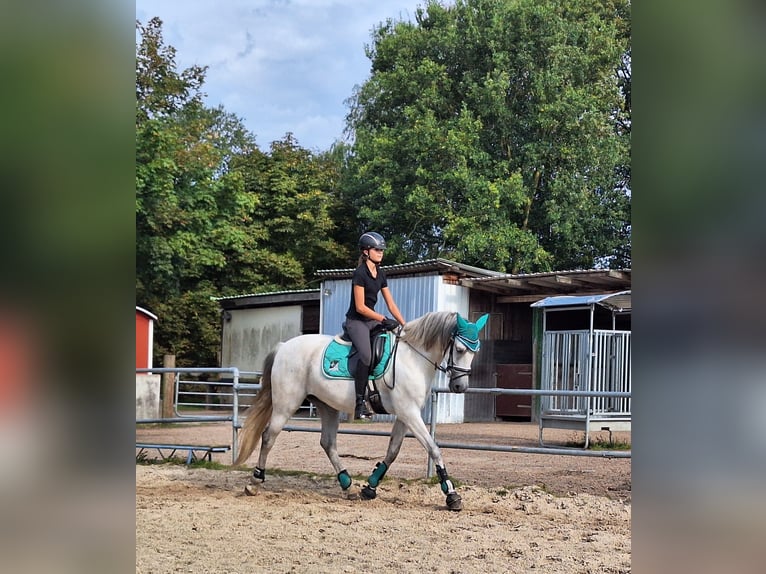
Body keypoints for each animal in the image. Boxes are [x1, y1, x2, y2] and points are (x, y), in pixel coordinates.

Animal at [233, 310, 489, 511]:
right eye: (459, 349)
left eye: (475, 351)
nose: (460, 387)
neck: (413, 358)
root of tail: (284, 346)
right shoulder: (409, 413)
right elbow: (434, 449)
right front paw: (452, 495)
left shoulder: (406, 414)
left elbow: (392, 451)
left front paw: (370, 487)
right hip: (287, 403)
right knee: (269, 437)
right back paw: (254, 482)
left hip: (327, 405)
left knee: (328, 443)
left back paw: (347, 486)